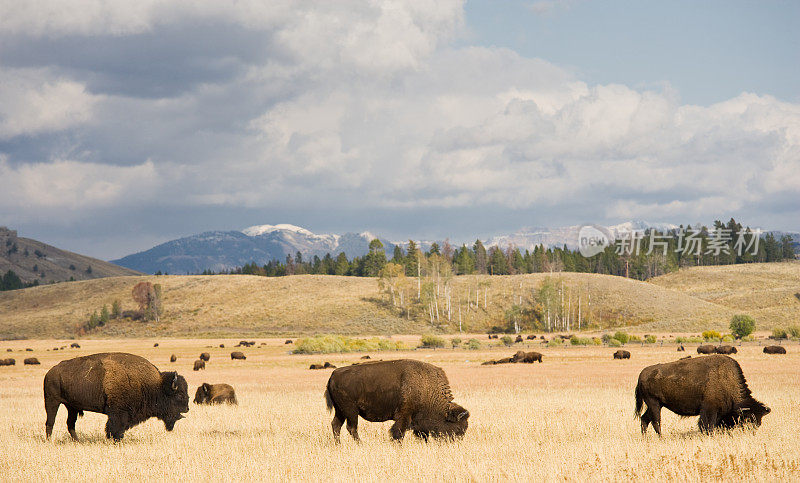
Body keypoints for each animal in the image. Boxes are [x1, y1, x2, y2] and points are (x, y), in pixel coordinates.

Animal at [43, 352, 188, 442]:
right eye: (180, 395)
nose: (187, 408)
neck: (154, 385)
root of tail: (50, 372)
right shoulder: (118, 413)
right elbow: (115, 428)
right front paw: (115, 439)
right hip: (52, 402)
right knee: (50, 422)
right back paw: (49, 441)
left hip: (71, 407)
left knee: (70, 424)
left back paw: (77, 441)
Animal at [324, 360, 468, 442]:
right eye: (457, 427)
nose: (456, 442)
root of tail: (333, 375)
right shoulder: (404, 415)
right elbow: (398, 432)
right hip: (351, 411)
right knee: (351, 428)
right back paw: (361, 444)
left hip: (340, 411)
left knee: (336, 425)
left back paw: (338, 444)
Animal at [636, 354, 772, 436]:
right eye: (748, 418)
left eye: (759, 422)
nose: (752, 432)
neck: (727, 380)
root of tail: (642, 374)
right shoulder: (709, 409)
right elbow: (707, 425)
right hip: (654, 404)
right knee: (656, 422)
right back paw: (661, 438)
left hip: (656, 405)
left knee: (644, 419)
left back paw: (645, 438)